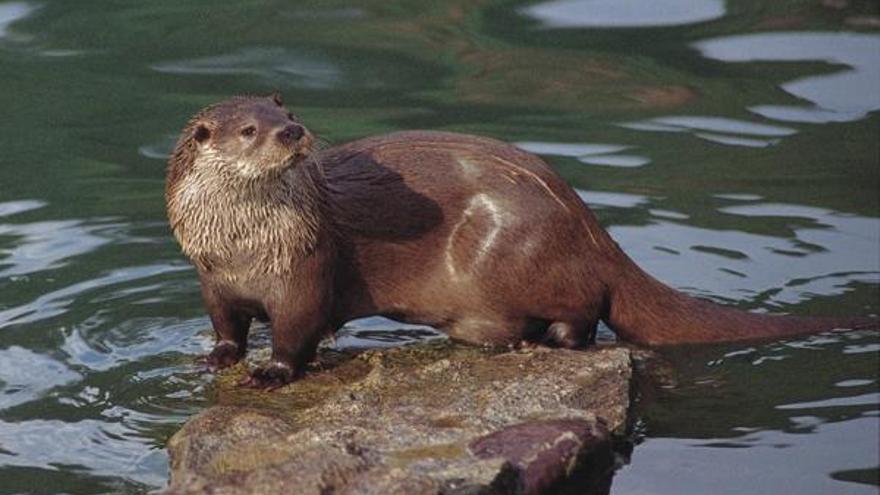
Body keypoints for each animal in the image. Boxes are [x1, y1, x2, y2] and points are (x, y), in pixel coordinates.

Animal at [167, 94, 880, 388]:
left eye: (288, 114)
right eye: (250, 130)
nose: (293, 132)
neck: (243, 246)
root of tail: (587, 223)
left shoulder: (306, 268)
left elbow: (298, 330)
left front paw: (273, 372)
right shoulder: (210, 278)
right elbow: (226, 324)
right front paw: (218, 358)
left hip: (514, 249)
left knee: (587, 312)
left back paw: (551, 342)